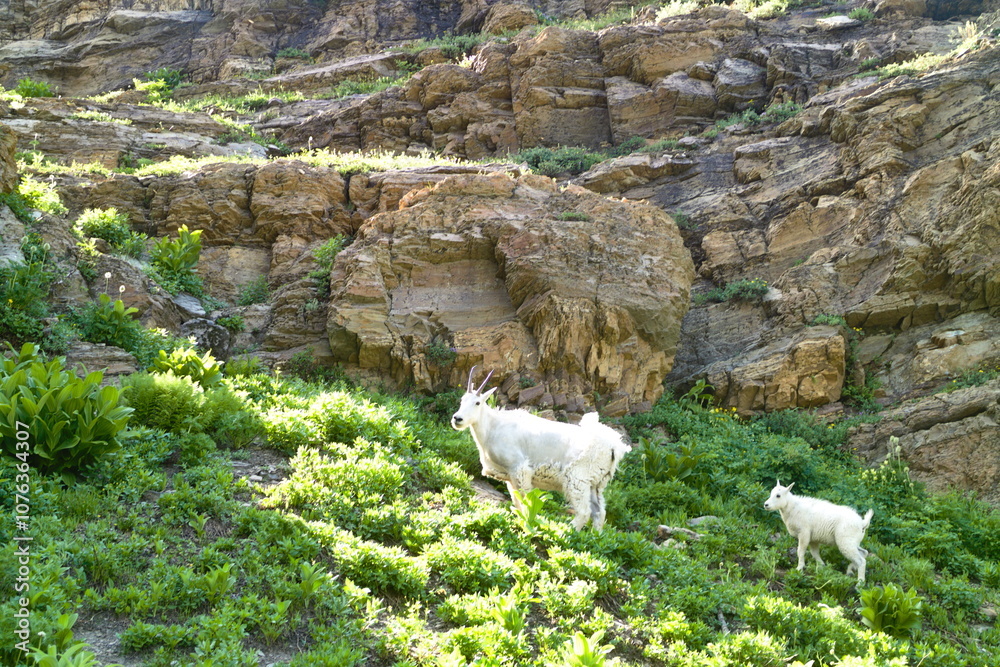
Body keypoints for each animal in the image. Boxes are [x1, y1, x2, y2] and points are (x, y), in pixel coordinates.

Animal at [450, 368, 631, 530]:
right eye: (461, 400)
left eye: (477, 402)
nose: (457, 419)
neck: (493, 427)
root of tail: (614, 447)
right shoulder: (509, 476)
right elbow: (516, 501)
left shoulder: (519, 468)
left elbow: (525, 500)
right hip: (596, 483)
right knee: (599, 513)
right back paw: (594, 537)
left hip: (578, 479)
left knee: (584, 511)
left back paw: (567, 531)